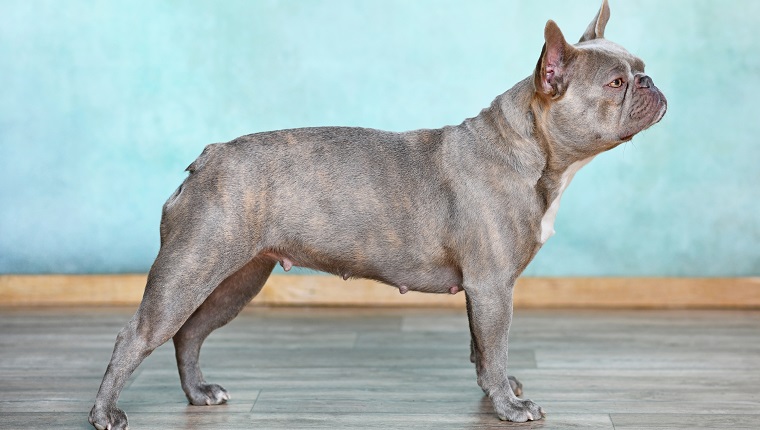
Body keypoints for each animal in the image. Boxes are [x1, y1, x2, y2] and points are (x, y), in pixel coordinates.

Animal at [89, 1, 664, 428]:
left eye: (638, 68)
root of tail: (209, 157)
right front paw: (509, 405)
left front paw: (495, 391)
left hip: (237, 279)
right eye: (616, 83)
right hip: (192, 267)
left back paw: (198, 392)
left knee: (189, 334)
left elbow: (482, 349)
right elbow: (495, 345)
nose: (650, 81)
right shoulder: (493, 286)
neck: (531, 151)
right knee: (137, 335)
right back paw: (105, 413)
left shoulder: (483, 291)